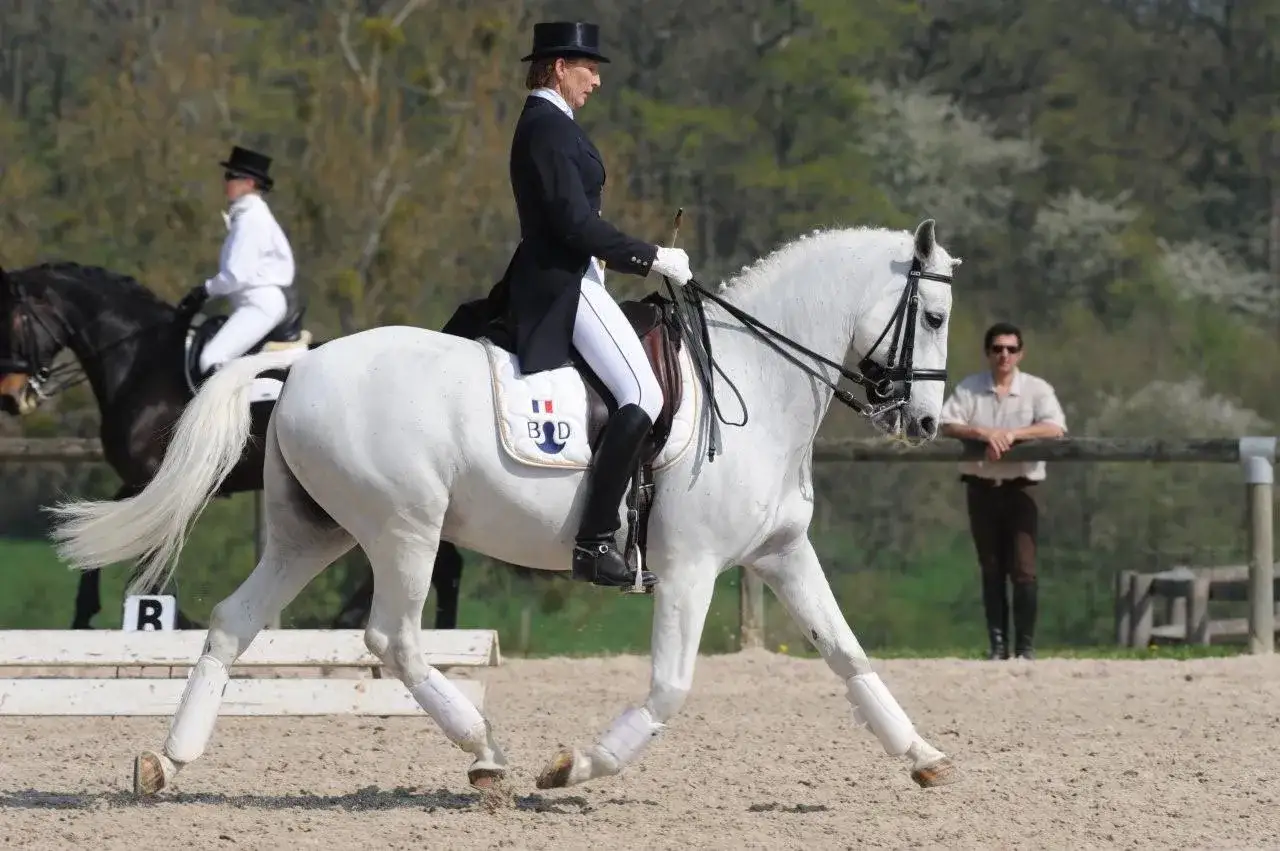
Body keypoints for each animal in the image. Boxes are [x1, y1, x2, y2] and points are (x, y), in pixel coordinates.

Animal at [0, 261, 465, 630]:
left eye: (14, 320)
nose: (11, 397)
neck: (143, 362)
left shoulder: (157, 476)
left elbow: (142, 545)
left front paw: (152, 617)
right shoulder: (150, 480)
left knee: (433, 563)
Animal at [48, 219, 963, 797]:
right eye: (935, 314)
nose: (922, 422)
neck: (757, 384)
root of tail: (300, 367)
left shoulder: (779, 552)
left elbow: (846, 653)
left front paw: (924, 755)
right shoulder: (692, 568)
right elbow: (669, 687)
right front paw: (574, 768)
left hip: (315, 532)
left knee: (235, 622)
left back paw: (167, 762)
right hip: (403, 529)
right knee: (393, 638)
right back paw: (486, 751)